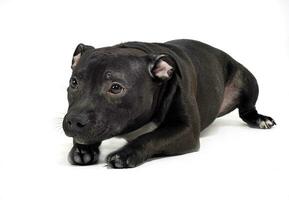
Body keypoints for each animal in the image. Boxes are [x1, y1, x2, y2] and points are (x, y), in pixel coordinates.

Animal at [62, 39, 274, 168]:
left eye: (115, 87)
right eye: (74, 82)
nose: (74, 121)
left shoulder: (185, 130)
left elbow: (151, 137)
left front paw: (125, 154)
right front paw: (83, 148)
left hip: (247, 80)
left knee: (247, 109)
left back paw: (260, 119)